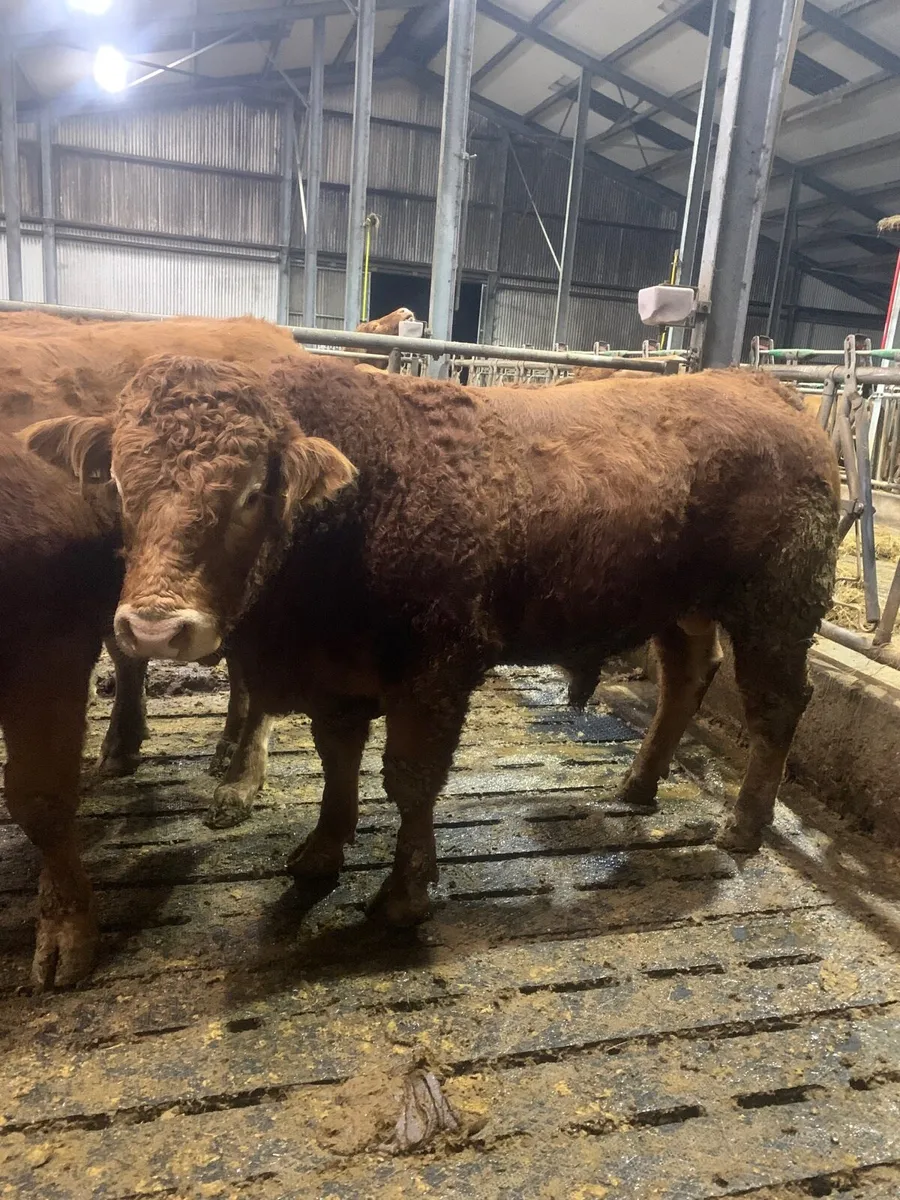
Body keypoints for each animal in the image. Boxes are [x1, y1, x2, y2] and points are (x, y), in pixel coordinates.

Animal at [13, 313, 304, 827]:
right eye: (116, 482)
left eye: (252, 495)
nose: (159, 626)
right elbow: (125, 653)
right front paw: (119, 747)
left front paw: (241, 783)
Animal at [39, 357, 839, 927]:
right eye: (118, 484)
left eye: (249, 494)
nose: (154, 626)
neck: (357, 501)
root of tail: (763, 388)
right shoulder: (338, 678)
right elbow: (339, 765)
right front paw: (320, 854)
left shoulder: (435, 672)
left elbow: (410, 778)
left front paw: (403, 893)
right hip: (683, 610)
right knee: (686, 677)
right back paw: (638, 785)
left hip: (775, 611)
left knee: (778, 707)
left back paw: (741, 827)